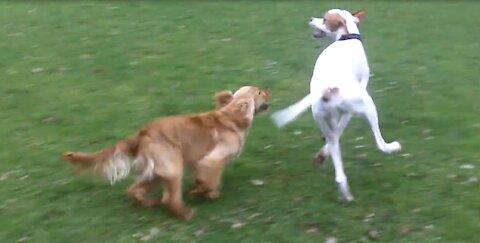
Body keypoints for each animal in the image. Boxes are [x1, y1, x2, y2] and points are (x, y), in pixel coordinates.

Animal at [62, 86, 270, 220]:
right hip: (173, 168)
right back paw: (186, 214)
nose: (270, 91)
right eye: (259, 92)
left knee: (134, 190)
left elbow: (212, 180)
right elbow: (209, 179)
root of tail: (142, 133)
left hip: (156, 173)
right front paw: (201, 192)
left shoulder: (207, 164)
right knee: (169, 199)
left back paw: (148, 204)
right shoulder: (211, 160)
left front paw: (209, 193)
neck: (232, 116)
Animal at [274, 8, 402, 201]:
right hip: (368, 106)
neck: (347, 36)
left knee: (338, 169)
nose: (311, 18)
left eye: (324, 19)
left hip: (324, 117)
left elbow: (334, 136)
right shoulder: (350, 109)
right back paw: (393, 147)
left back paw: (344, 190)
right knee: (380, 144)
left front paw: (322, 153)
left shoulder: (333, 119)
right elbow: (340, 130)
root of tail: (328, 89)